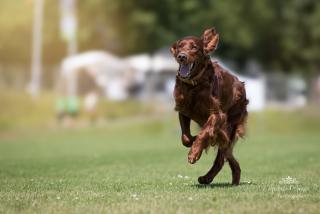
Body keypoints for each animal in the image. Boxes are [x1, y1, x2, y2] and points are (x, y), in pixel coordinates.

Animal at [171, 27, 249, 185]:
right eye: (180, 46)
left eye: (194, 47)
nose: (182, 56)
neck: (194, 85)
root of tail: (241, 85)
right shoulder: (183, 110)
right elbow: (185, 138)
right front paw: (193, 141)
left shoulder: (217, 114)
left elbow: (204, 133)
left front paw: (194, 153)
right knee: (228, 155)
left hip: (230, 125)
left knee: (221, 157)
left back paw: (207, 177)